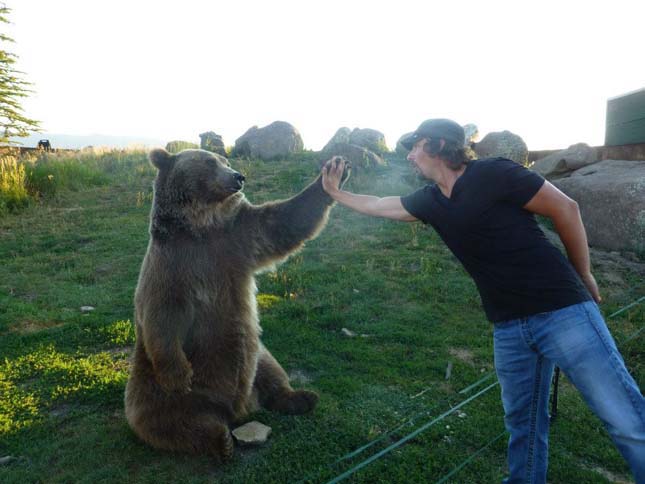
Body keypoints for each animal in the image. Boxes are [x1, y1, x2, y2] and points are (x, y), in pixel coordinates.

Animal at [124, 148, 348, 462]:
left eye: (226, 161)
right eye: (209, 162)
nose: (238, 176)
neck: (202, 227)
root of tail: (236, 410)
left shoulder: (236, 238)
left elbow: (283, 222)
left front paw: (333, 175)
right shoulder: (172, 266)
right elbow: (161, 315)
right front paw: (179, 376)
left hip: (258, 356)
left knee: (271, 372)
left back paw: (301, 397)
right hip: (150, 387)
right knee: (167, 420)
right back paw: (219, 440)